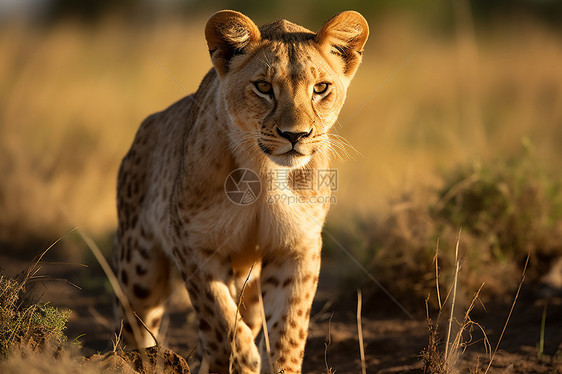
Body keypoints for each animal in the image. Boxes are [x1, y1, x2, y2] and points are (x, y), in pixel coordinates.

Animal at [114, 10, 368, 372]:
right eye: (263, 87)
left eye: (321, 88)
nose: (296, 135)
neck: (264, 172)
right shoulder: (193, 243)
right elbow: (220, 318)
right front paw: (243, 358)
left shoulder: (297, 247)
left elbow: (289, 328)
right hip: (139, 267)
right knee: (134, 323)